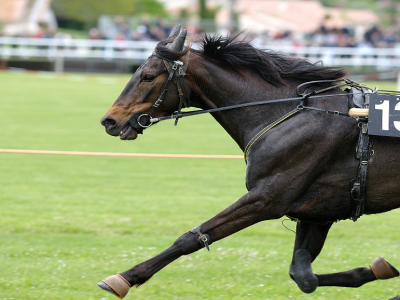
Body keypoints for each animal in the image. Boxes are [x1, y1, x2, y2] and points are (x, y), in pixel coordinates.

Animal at [97, 25, 400, 298]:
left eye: (148, 76)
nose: (109, 121)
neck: (286, 112)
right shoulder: (317, 212)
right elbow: (302, 275)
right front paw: (378, 269)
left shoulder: (266, 198)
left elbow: (192, 237)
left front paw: (124, 278)